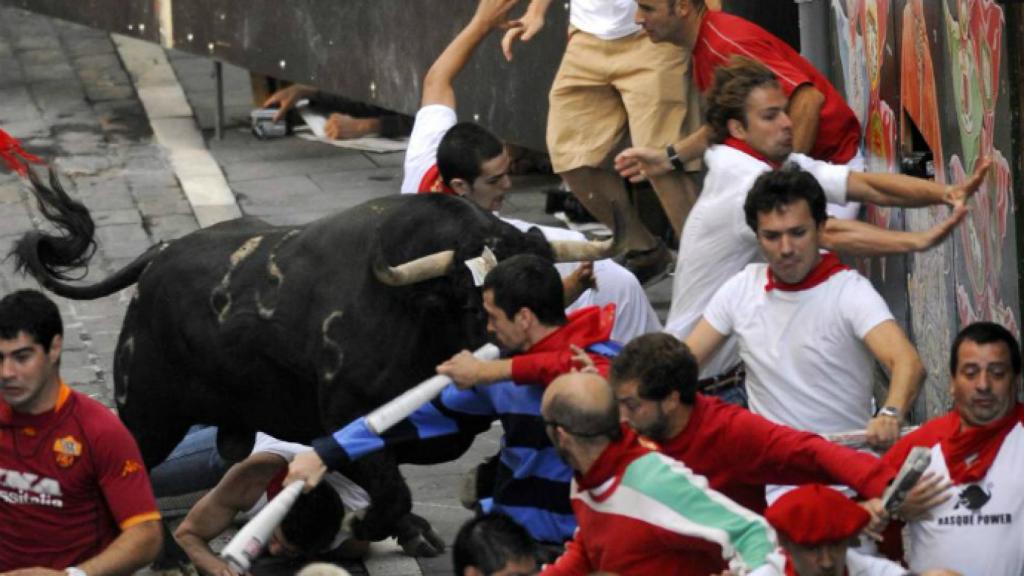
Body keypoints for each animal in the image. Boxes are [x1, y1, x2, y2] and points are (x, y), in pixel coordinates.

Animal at [12, 169, 618, 553]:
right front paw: (372, 523)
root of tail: (160, 254)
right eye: (473, 302)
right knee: (135, 470)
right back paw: (164, 554)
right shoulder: (346, 412)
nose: (523, 357)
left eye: (551, 293)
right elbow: (388, 485)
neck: (412, 311)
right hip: (150, 414)